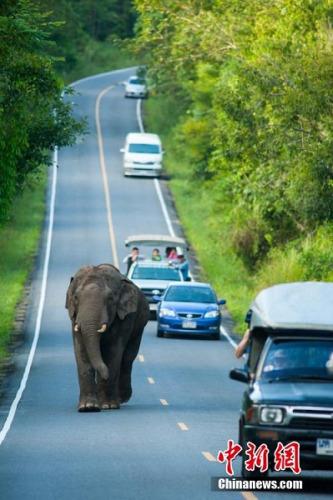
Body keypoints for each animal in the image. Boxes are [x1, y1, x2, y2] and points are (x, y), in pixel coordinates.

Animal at [65, 264, 148, 412]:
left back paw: (120, 399)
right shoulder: (74, 317)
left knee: (127, 358)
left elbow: (113, 352)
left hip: (139, 326)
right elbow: (81, 351)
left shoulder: (124, 317)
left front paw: (108, 406)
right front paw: (88, 407)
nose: (105, 375)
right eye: (76, 297)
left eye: (110, 299)